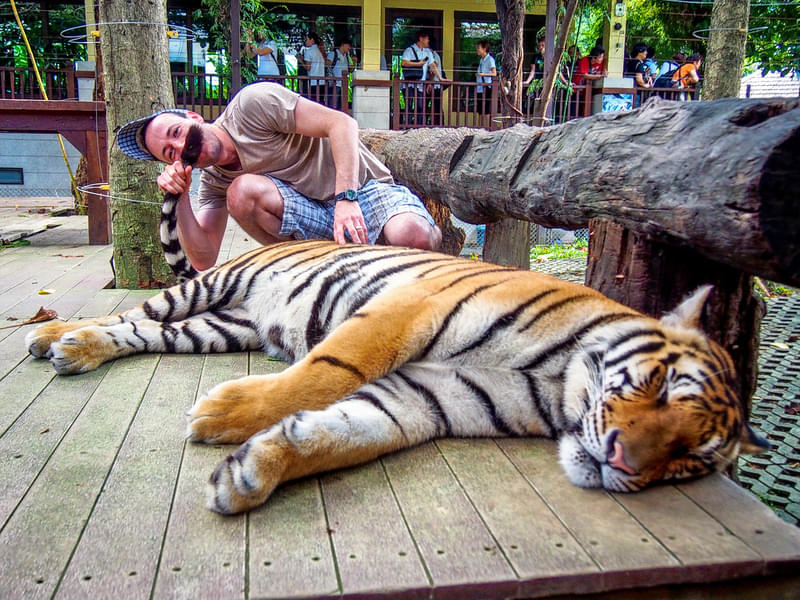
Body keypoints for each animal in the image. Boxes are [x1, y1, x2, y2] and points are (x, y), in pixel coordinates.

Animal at [25, 240, 768, 516]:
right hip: (215, 284)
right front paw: (223, 414)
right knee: (133, 312)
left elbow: (345, 431)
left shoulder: (431, 396)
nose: (623, 461)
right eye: (664, 387)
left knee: (141, 332)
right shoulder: (409, 308)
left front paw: (252, 472)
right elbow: (325, 374)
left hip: (221, 324)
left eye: (688, 459)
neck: (558, 387)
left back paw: (72, 348)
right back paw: (53, 336)